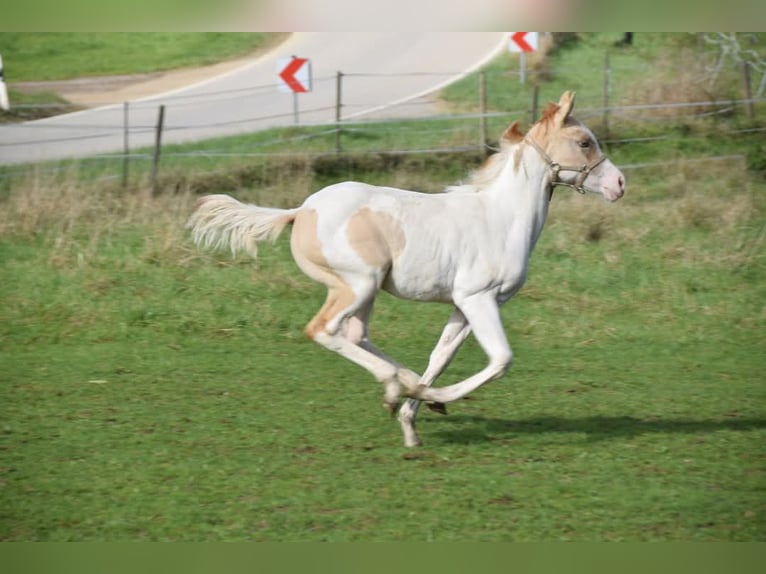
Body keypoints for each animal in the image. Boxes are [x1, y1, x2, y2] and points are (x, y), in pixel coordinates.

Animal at [189, 91, 628, 450]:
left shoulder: (463, 305)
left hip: (364, 291)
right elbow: (500, 360)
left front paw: (414, 420)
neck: (501, 218)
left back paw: (405, 384)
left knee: (355, 334)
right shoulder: (479, 298)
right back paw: (391, 385)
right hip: (357, 284)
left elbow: (441, 356)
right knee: (324, 330)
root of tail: (301, 211)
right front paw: (434, 399)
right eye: (584, 142)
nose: (620, 184)